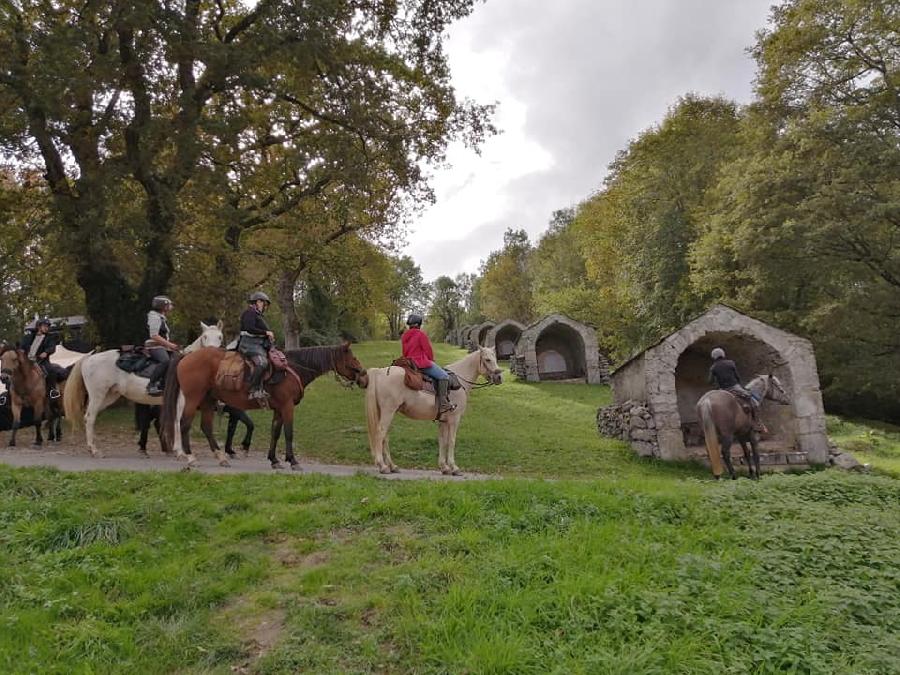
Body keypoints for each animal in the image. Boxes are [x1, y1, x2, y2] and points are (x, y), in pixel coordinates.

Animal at [62, 320, 223, 456]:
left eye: (220, 337)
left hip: (109, 396)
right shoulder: (181, 402)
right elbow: (177, 423)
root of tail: (88, 358)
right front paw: (180, 451)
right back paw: (94, 449)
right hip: (98, 395)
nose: (212, 353)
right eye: (205, 337)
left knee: (90, 417)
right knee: (90, 418)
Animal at [163, 344, 370, 470]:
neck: (294, 368)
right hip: (193, 399)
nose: (365, 377)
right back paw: (191, 458)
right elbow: (288, 433)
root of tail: (186, 356)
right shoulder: (287, 407)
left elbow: (275, 433)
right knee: (184, 424)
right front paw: (293, 461)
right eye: (353, 358)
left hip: (208, 401)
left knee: (206, 427)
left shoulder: (278, 409)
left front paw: (274, 460)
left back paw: (221, 457)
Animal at [366, 348, 506, 476]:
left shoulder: (443, 421)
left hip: (388, 412)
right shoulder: (454, 419)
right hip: (388, 412)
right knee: (380, 433)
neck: (460, 380)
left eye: (495, 359)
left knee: (385, 436)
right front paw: (454, 467)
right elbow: (451, 441)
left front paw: (444, 467)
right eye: (487, 360)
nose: (499, 377)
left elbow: (443, 441)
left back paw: (392, 466)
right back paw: (382, 465)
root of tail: (380, 372)